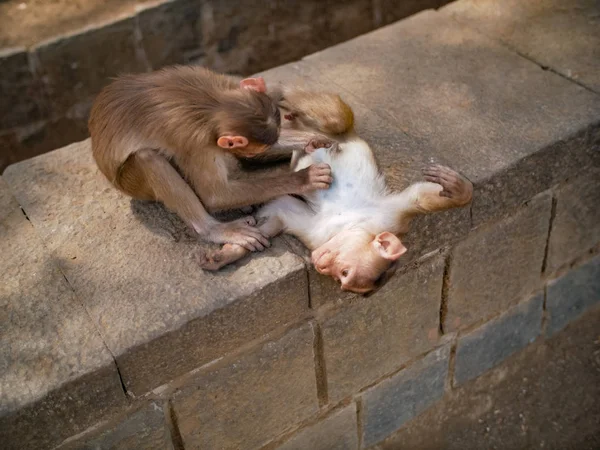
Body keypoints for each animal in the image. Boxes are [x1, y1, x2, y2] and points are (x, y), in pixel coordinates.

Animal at [202, 134, 474, 296]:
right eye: (344, 272)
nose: (323, 268)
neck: (349, 225)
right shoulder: (390, 217)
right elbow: (417, 199)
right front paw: (460, 191)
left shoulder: (314, 235)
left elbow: (279, 214)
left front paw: (228, 252)